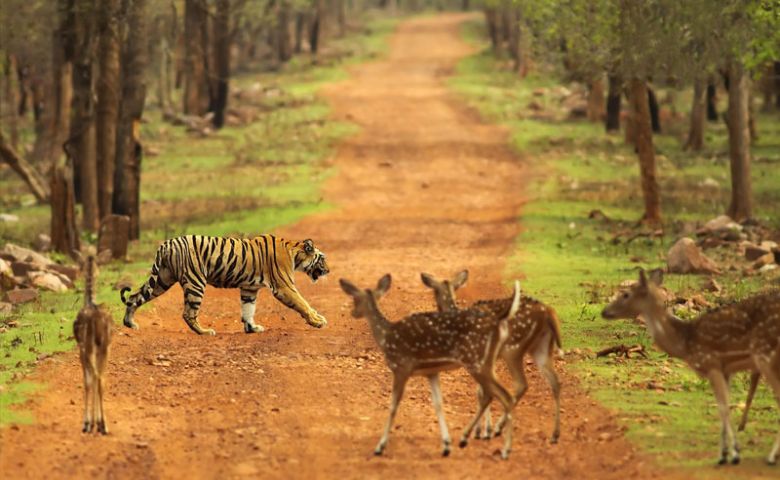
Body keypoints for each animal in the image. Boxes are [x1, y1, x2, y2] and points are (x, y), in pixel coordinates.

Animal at [119, 234, 330, 336]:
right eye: (322, 259)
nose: (328, 270)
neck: (294, 253)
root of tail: (167, 244)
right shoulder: (284, 286)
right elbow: (303, 303)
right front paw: (318, 320)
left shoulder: (249, 288)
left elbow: (248, 309)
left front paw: (252, 328)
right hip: (195, 282)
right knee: (188, 313)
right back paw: (204, 332)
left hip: (162, 280)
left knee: (134, 297)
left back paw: (130, 323)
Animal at [340, 274, 516, 458]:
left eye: (355, 298)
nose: (353, 312)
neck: (385, 337)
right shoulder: (431, 372)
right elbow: (438, 403)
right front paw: (446, 446)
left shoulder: (401, 367)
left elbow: (393, 406)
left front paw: (380, 447)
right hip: (484, 362)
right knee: (497, 393)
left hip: (475, 361)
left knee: (501, 394)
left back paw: (498, 445)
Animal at [420, 270, 560, 442]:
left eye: (434, 291)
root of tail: (548, 312)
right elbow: (482, 391)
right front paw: (483, 429)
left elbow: (482, 393)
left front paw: (483, 430)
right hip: (541, 347)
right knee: (555, 382)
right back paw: (554, 435)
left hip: (513, 349)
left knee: (521, 384)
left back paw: (496, 428)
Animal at [604, 268, 780, 464]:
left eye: (626, 294)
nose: (604, 311)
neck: (685, 344)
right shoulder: (725, 370)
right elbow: (723, 406)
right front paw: (725, 454)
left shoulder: (711, 363)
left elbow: (724, 408)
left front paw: (733, 454)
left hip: (765, 355)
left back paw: (771, 457)